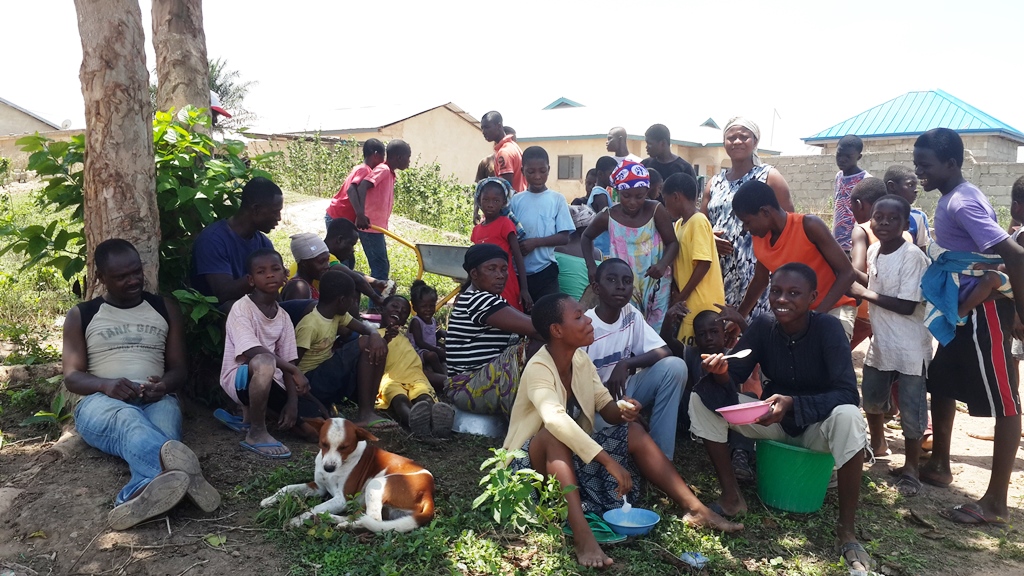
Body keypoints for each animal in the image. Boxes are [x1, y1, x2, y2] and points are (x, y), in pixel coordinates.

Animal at [259, 417, 434, 533]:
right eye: (323, 444)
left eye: (344, 447)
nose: (329, 468)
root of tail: (428, 492)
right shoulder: (319, 488)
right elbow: (287, 488)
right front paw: (270, 499)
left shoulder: (342, 499)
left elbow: (313, 508)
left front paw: (297, 520)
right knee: (361, 516)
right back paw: (332, 519)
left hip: (376, 484)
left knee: (374, 519)